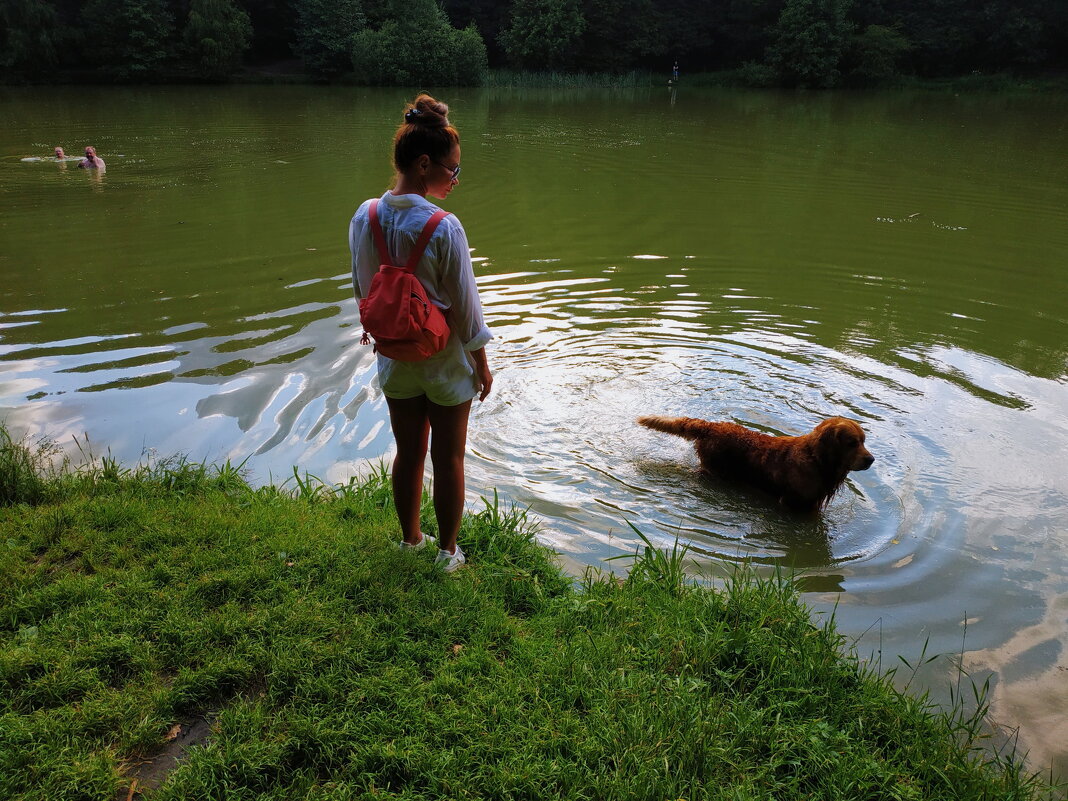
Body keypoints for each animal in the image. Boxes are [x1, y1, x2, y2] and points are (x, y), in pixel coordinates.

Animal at [636, 416, 871, 510]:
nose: (871, 459)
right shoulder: (792, 503)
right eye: (852, 443)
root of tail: (712, 426)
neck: (815, 458)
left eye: (863, 441)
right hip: (714, 470)